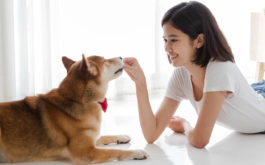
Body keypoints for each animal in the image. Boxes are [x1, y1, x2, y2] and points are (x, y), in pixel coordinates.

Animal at [0, 54, 147, 164]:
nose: (121, 57)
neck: (77, 100)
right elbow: (115, 151)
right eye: (105, 61)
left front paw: (121, 137)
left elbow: (103, 136)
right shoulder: (86, 152)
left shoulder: (91, 137)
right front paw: (136, 152)